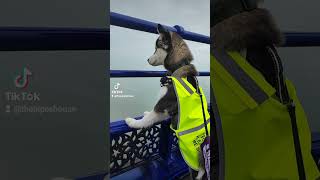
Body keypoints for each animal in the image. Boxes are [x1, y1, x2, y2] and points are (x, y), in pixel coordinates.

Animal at [125, 23, 205, 179]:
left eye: (156, 48)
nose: (147, 59)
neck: (179, 66)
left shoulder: (163, 105)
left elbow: (148, 119)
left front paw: (133, 122)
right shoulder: (166, 111)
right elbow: (150, 115)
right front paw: (145, 113)